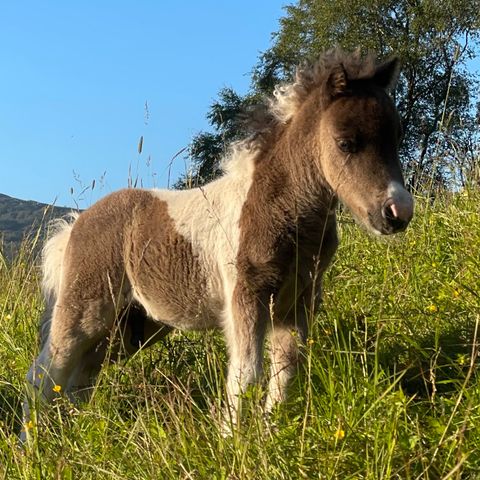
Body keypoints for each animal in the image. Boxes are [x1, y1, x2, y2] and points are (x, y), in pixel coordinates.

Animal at [23, 49, 412, 436]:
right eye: (346, 143)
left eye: (397, 136)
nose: (398, 212)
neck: (276, 207)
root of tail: (74, 226)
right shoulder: (247, 295)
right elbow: (246, 374)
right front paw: (232, 440)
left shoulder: (298, 302)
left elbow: (286, 374)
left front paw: (271, 437)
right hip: (86, 308)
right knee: (45, 372)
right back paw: (35, 443)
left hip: (131, 326)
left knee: (79, 379)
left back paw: (76, 435)